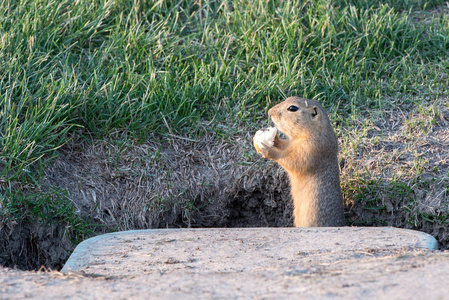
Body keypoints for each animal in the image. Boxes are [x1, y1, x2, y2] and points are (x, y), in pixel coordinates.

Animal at [254, 97, 344, 226]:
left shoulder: (311, 149)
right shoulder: (291, 144)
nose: (269, 112)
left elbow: (293, 162)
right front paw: (274, 138)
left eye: (292, 108)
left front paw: (268, 150)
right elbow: (285, 146)